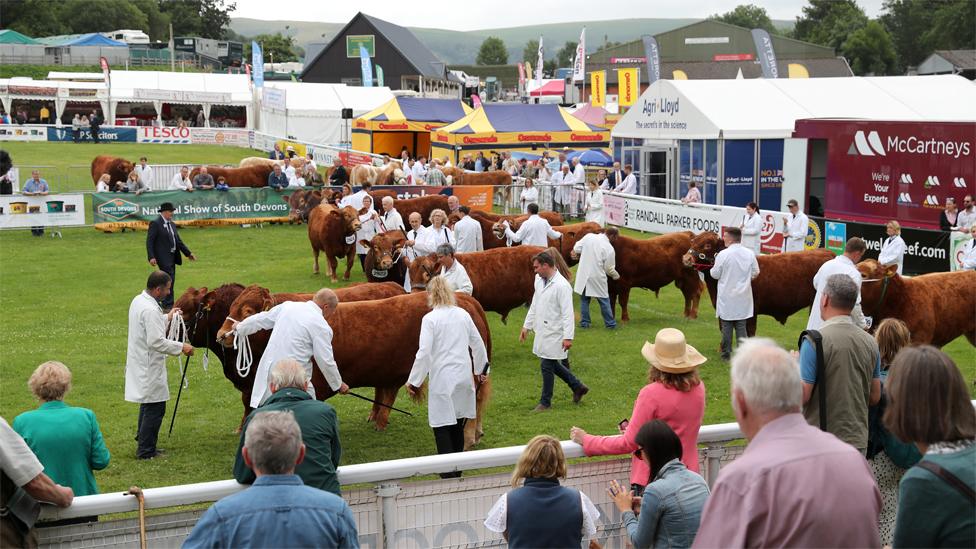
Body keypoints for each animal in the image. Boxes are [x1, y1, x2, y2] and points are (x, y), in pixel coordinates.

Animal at [210, 288, 492, 448]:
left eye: (247, 310)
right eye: (231, 306)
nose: (222, 334)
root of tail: (464, 299)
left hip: (467, 370)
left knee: (471, 401)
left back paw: (468, 437)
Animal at [684, 230, 836, 336]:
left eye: (707, 245)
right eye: (693, 241)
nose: (686, 258)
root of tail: (828, 253)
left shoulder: (752, 312)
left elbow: (748, 331)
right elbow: (725, 328)